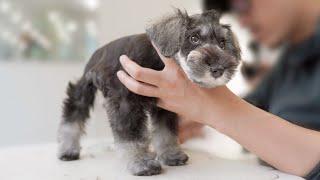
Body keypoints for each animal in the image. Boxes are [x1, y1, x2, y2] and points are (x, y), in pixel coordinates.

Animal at [58, 8, 240, 176]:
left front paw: (171, 155)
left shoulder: (165, 106)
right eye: (194, 38)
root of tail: (98, 52)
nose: (218, 69)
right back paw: (68, 149)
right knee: (73, 115)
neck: (158, 62)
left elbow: (165, 132)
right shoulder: (126, 104)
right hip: (83, 89)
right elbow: (133, 137)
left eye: (222, 43)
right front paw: (141, 163)